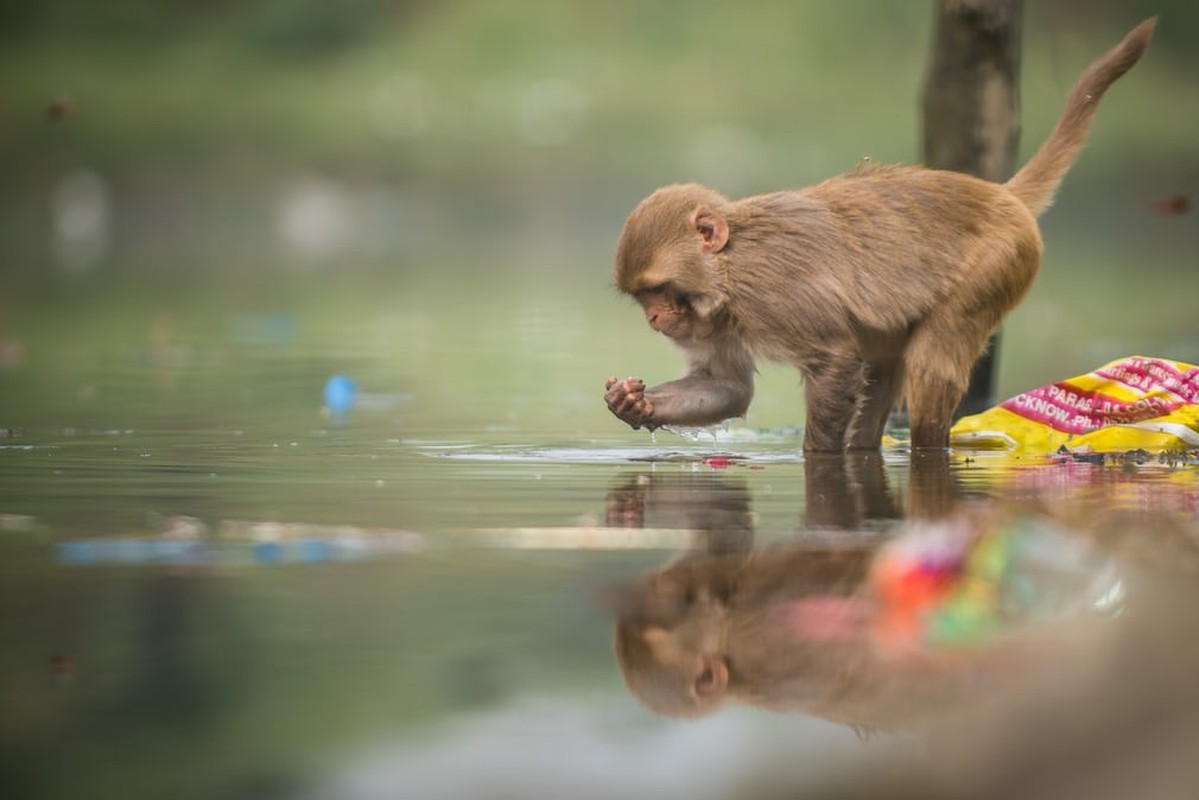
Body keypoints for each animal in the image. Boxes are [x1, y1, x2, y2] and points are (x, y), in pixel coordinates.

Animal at [604, 17, 1155, 450]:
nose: (654, 317)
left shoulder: (776, 296)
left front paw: (818, 457)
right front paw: (632, 403)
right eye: (642, 296)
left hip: (1000, 261)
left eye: (658, 289)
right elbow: (727, 385)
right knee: (885, 365)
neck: (729, 270)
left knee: (928, 368)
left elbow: (836, 360)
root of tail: (1000, 195)